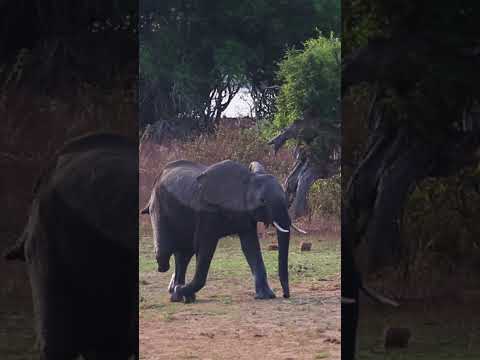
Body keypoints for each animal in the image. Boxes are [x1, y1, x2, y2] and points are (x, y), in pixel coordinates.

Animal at [141, 159, 304, 302]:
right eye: (262, 201)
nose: (285, 295)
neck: (247, 181)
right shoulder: (207, 212)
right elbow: (205, 247)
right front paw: (182, 289)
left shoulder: (245, 214)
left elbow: (250, 247)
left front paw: (265, 296)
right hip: (159, 207)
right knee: (165, 253)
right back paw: (178, 292)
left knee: (184, 254)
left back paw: (179, 295)